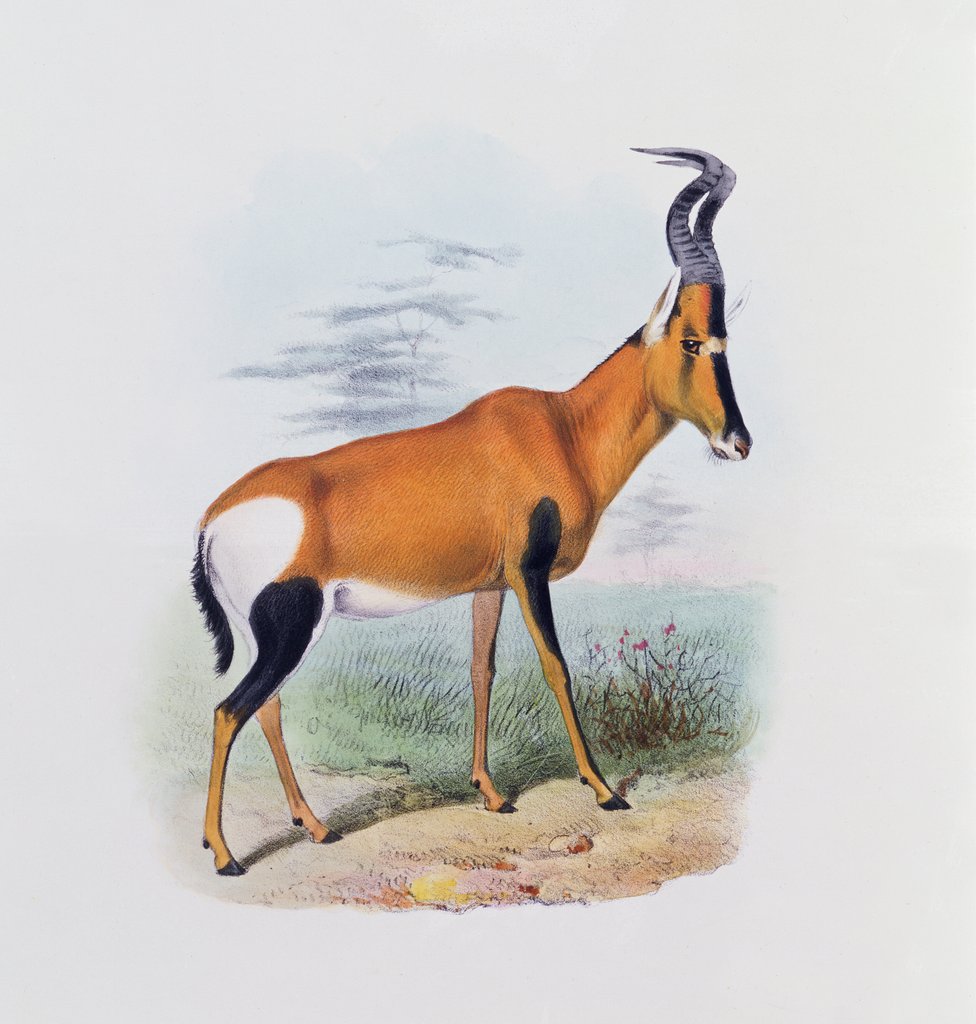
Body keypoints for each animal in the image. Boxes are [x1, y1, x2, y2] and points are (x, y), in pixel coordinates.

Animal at [192, 148, 752, 875]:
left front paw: (491, 793)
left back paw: (314, 828)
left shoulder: (492, 585)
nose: (738, 441)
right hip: (290, 628)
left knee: (266, 708)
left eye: (723, 339)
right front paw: (605, 791)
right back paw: (227, 855)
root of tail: (211, 522)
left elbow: (481, 671)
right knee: (230, 711)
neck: (561, 427)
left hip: (281, 634)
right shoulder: (530, 574)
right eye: (691, 340)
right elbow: (555, 667)